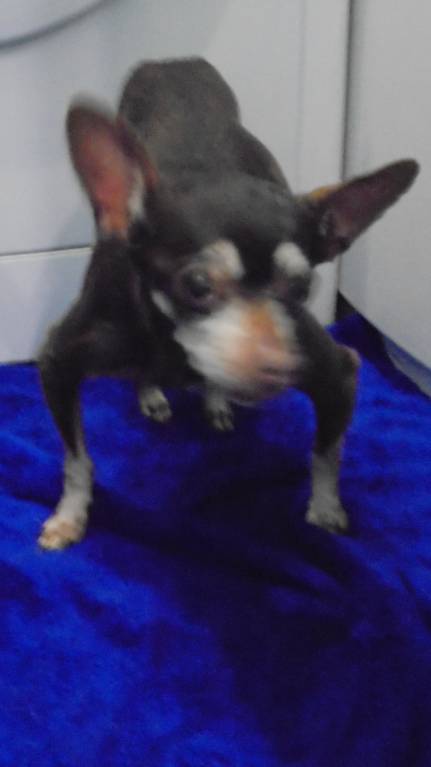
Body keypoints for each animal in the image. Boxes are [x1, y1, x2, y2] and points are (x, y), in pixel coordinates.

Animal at [38, 57, 419, 550]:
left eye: (300, 288)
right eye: (198, 285)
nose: (276, 366)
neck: (176, 349)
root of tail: (176, 62)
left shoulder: (339, 372)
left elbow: (324, 453)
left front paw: (325, 509)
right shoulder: (58, 362)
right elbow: (77, 460)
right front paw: (70, 516)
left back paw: (212, 397)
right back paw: (153, 390)